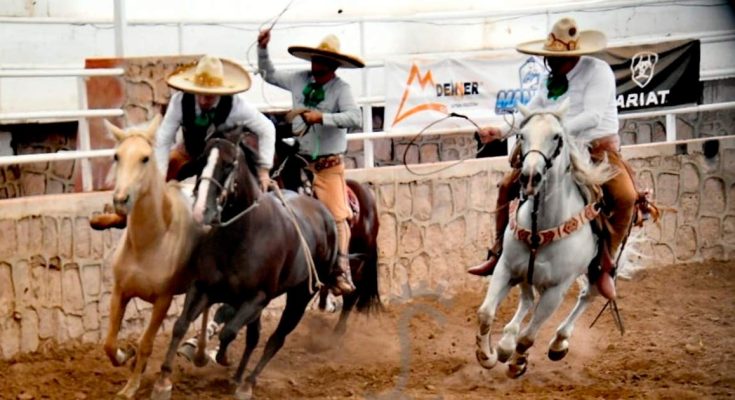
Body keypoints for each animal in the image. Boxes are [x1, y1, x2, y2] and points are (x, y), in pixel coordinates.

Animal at [102, 115, 203, 396]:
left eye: (145, 158)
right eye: (117, 156)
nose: (120, 199)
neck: (149, 243)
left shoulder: (162, 300)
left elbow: (146, 342)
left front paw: (131, 387)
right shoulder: (120, 291)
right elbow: (109, 342)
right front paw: (126, 356)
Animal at [153, 138, 342, 400]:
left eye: (229, 164)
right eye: (202, 160)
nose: (202, 210)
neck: (242, 235)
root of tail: (326, 216)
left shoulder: (256, 298)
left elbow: (230, 332)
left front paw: (221, 358)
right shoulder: (203, 288)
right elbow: (181, 325)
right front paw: (163, 381)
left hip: (300, 296)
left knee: (276, 339)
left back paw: (247, 382)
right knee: (255, 337)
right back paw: (238, 377)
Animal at [474, 100, 620, 378]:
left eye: (557, 137)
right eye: (521, 135)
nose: (530, 176)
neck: (540, 225)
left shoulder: (556, 289)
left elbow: (529, 337)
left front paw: (518, 362)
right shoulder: (506, 268)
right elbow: (486, 312)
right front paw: (487, 355)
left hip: (598, 269)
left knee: (588, 294)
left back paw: (558, 342)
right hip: (524, 274)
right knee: (528, 299)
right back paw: (505, 343)